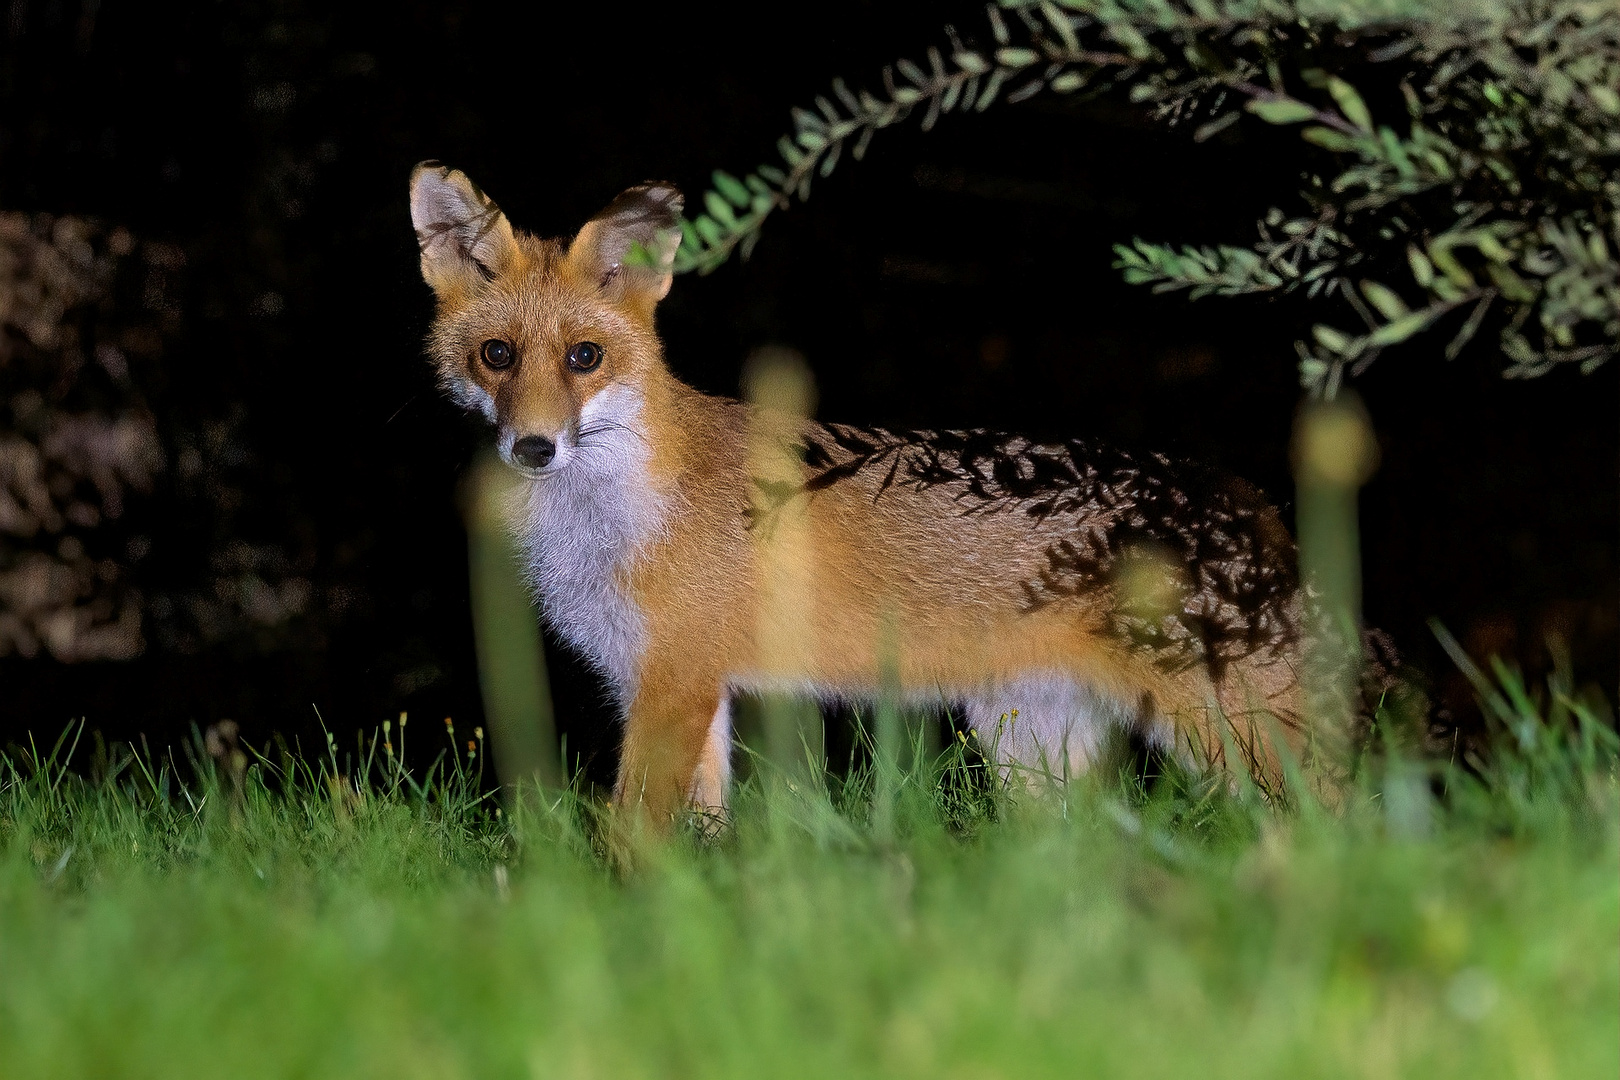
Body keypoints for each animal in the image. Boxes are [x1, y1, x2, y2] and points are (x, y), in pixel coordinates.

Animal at [408, 162, 1341, 829]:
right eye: (496, 355)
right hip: (1030, 747)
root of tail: (1247, 492)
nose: (533, 447)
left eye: (584, 358)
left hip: (1234, 745)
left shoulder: (674, 681)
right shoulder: (680, 688)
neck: (608, 524)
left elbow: (629, 834)